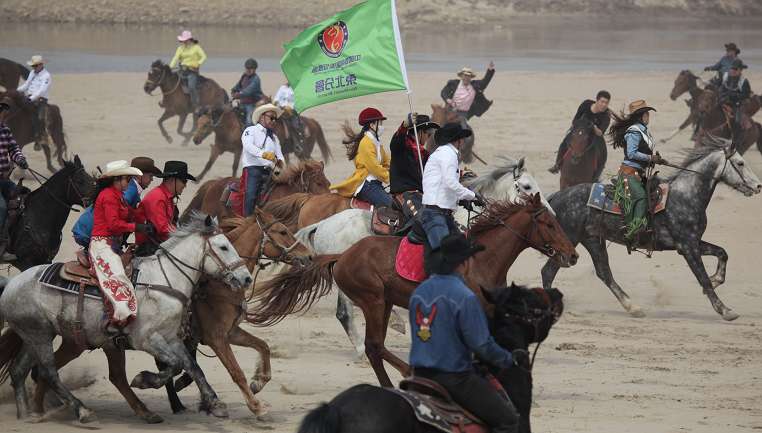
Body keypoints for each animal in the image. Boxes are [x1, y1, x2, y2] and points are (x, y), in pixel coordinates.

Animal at [0, 213, 252, 423]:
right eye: (223, 247)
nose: (247, 278)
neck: (164, 280)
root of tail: (12, 283)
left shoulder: (171, 339)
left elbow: (191, 365)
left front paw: (215, 403)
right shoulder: (147, 340)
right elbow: (177, 365)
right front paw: (145, 380)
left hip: (37, 336)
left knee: (21, 371)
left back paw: (28, 415)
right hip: (41, 336)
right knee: (49, 372)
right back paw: (81, 410)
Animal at [29, 209, 312, 421]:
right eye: (283, 231)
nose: (308, 256)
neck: (215, 284)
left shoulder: (230, 332)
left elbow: (262, 346)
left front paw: (259, 381)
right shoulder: (216, 337)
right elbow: (235, 372)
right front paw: (256, 406)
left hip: (88, 342)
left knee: (73, 371)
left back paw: (44, 409)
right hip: (86, 342)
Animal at [192, 105, 332, 181]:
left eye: (206, 124)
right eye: (198, 122)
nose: (195, 140)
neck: (229, 127)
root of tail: (312, 122)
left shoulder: (238, 150)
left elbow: (234, 166)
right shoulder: (218, 148)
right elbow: (209, 163)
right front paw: (197, 178)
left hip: (303, 152)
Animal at [250, 195, 578, 386]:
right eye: (549, 223)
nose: (572, 255)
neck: (480, 260)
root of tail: (342, 255)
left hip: (382, 303)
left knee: (375, 346)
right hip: (373, 300)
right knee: (372, 344)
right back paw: (407, 373)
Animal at [541, 137, 762, 321]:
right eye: (740, 163)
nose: (758, 186)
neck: (685, 195)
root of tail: (555, 196)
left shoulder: (692, 242)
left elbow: (722, 253)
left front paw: (717, 279)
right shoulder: (688, 247)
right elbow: (703, 278)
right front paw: (725, 310)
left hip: (593, 240)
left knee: (603, 273)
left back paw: (633, 307)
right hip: (569, 240)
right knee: (548, 272)